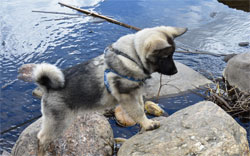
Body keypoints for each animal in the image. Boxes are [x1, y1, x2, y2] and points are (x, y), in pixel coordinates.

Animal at [30, 25, 186, 155]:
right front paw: (148, 124)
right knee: (41, 137)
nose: (176, 71)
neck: (133, 56)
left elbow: (141, 108)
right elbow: (138, 112)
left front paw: (144, 125)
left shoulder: (136, 94)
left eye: (172, 55)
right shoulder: (127, 96)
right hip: (59, 121)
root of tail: (47, 86)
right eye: (165, 57)